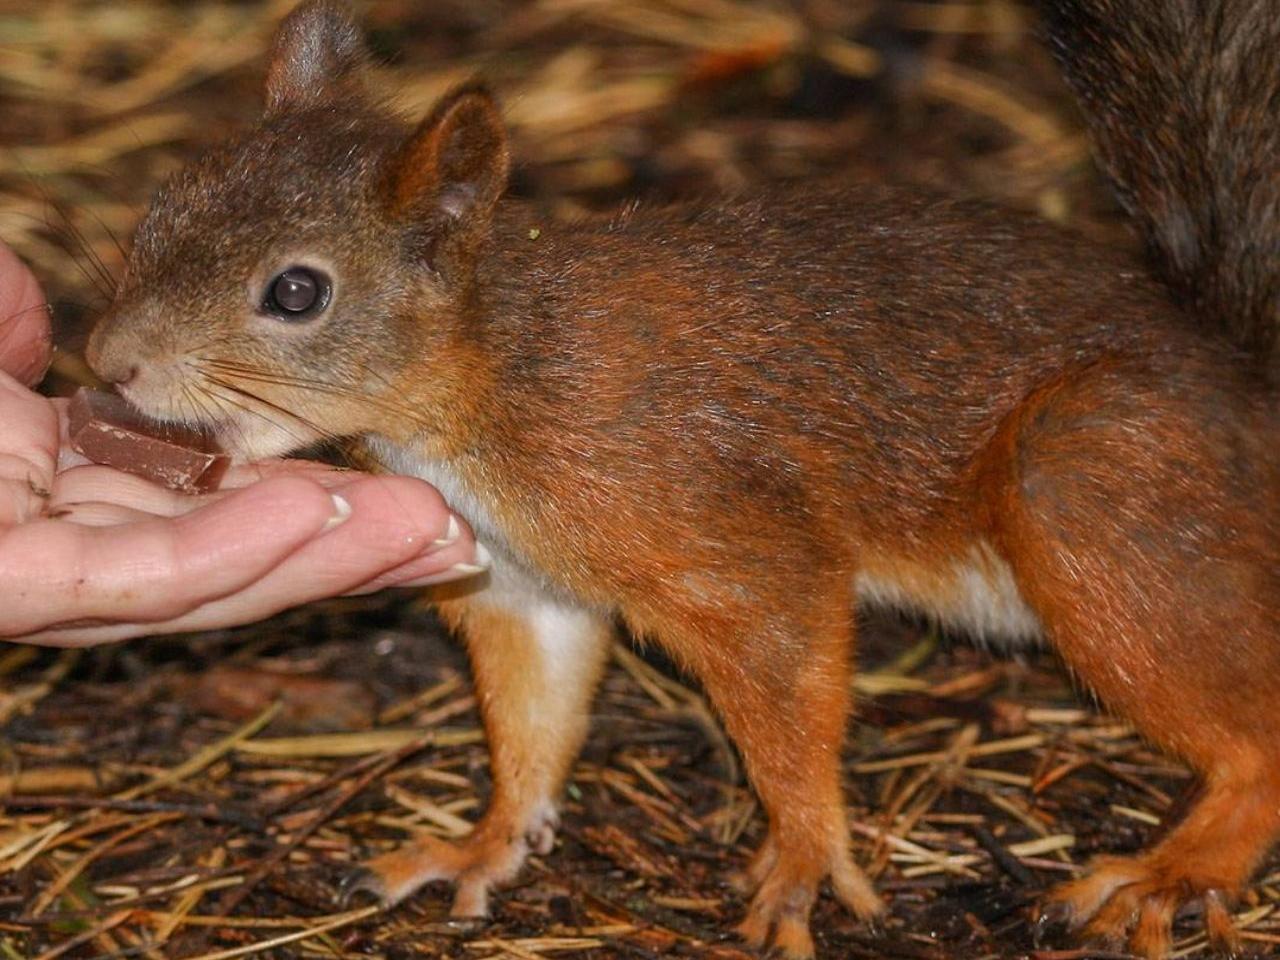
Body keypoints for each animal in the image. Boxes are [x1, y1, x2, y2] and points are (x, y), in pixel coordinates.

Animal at [85, 1, 1274, 960]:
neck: (489, 387)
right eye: (160, 207)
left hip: (1084, 481)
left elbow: (787, 691)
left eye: (296, 292)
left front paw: (801, 856)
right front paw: (485, 842)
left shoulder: (724, 535)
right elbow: (535, 712)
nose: (106, 363)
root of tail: (1243, 385)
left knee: (1253, 738)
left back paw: (1171, 870)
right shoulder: (521, 588)